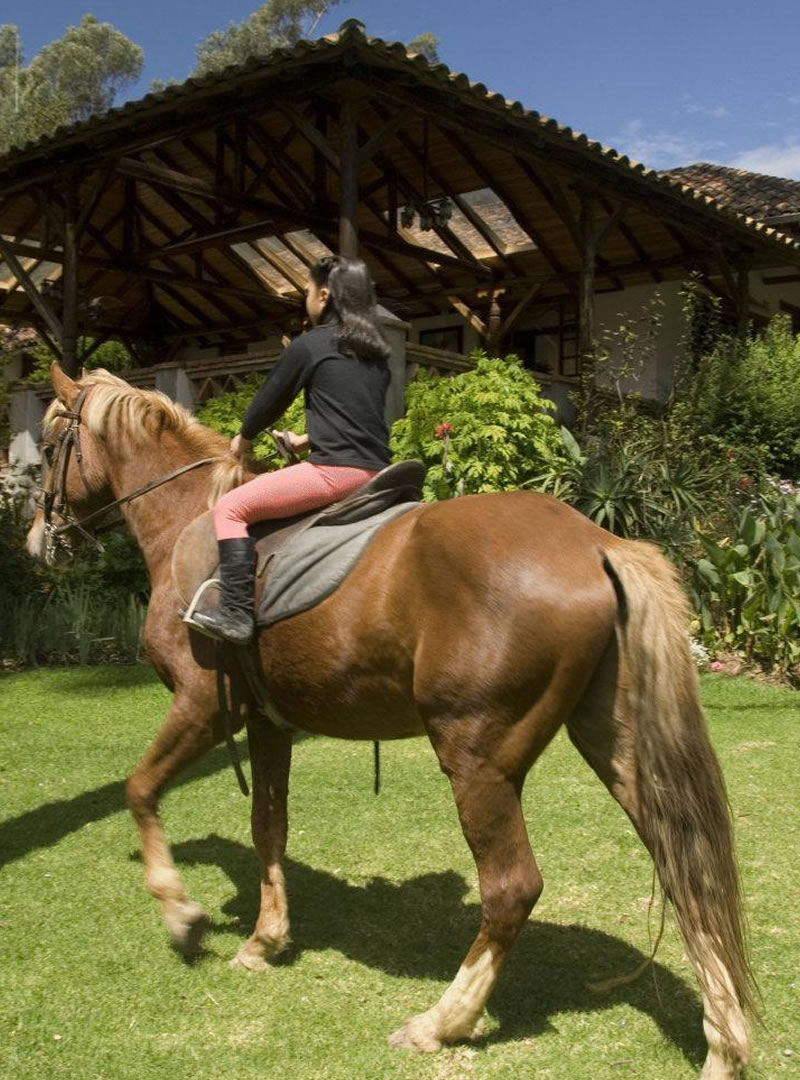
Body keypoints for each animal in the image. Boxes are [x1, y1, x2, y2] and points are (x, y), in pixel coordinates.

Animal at [26, 363, 755, 1080]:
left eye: (52, 442)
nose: (37, 540)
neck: (191, 520)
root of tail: (596, 541)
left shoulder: (204, 709)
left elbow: (139, 790)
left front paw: (180, 911)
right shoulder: (268, 725)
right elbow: (268, 827)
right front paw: (266, 940)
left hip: (477, 758)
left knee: (513, 888)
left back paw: (443, 1022)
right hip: (615, 745)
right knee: (685, 867)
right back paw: (725, 1041)